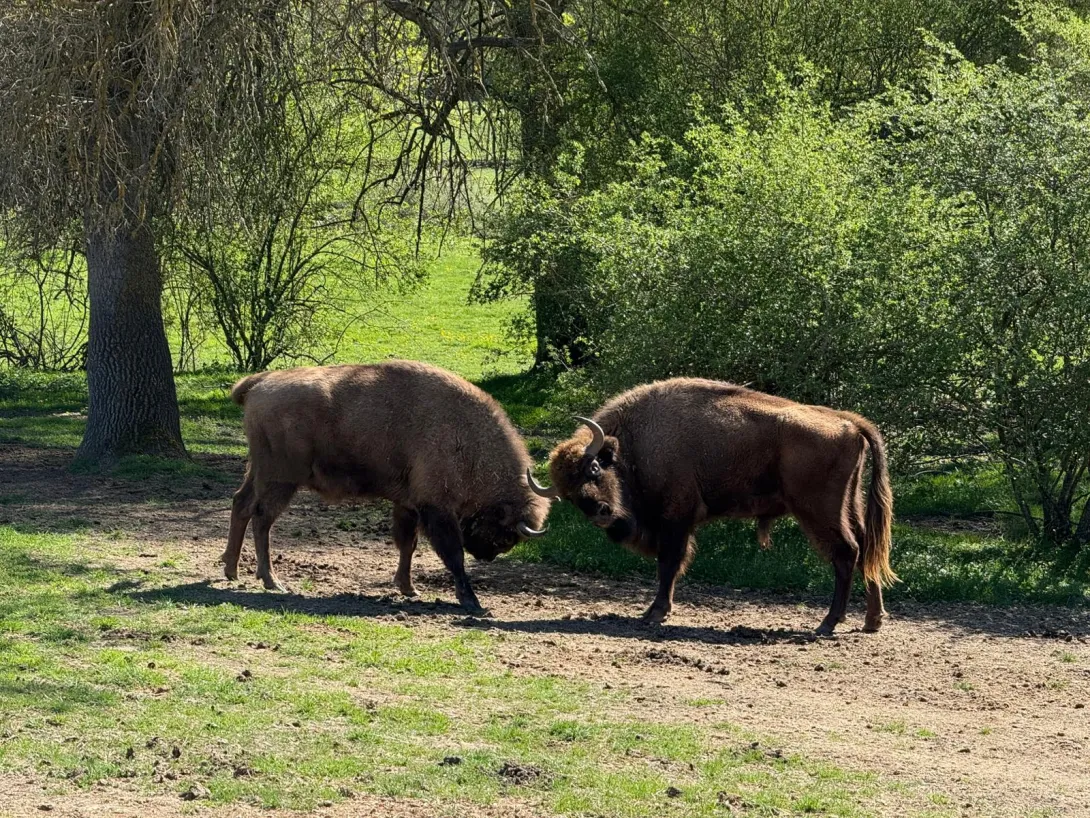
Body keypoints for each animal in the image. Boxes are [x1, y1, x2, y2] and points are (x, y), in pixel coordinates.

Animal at [222, 361, 550, 613]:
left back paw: (231, 570)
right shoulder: (436, 509)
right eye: (504, 535)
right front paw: (472, 601)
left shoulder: (408, 504)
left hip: (259, 472)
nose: (486, 556)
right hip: (281, 480)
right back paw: (271, 581)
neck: (469, 440)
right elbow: (452, 554)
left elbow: (408, 544)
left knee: (241, 505)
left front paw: (408, 588)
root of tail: (260, 382)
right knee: (262, 518)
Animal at [527, 378, 895, 635]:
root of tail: (848, 422)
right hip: (849, 505)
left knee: (846, 553)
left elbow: (669, 564)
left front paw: (655, 613)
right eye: (568, 495)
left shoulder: (675, 520)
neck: (636, 441)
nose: (601, 514)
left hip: (818, 511)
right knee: (867, 549)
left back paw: (828, 624)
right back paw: (872, 621)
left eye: (593, 468)